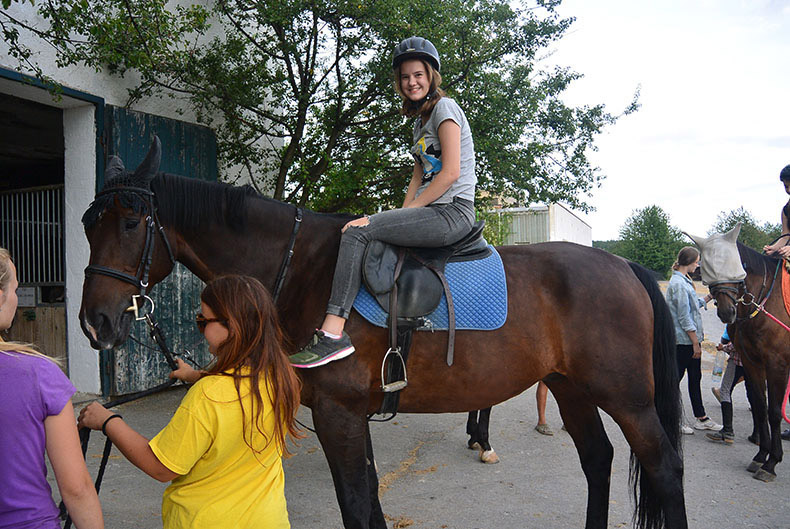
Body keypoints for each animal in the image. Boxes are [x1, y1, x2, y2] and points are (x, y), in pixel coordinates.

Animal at [77, 139, 688, 528]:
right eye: (88, 224)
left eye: (130, 222)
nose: (94, 321)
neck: (304, 267)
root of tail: (622, 265)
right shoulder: (351, 415)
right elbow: (368, 500)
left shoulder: (338, 413)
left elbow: (354, 502)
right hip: (570, 388)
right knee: (599, 461)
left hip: (627, 399)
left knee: (664, 467)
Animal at [688, 225, 790, 480]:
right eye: (709, 273)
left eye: (740, 267)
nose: (727, 312)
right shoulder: (752, 362)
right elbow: (761, 406)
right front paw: (761, 456)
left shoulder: (777, 365)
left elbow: (774, 412)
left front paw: (772, 463)